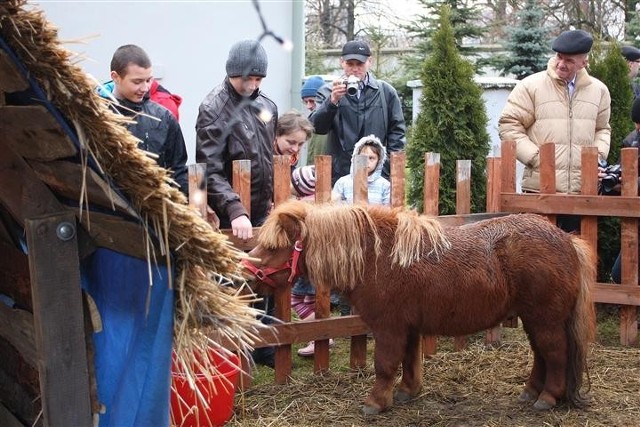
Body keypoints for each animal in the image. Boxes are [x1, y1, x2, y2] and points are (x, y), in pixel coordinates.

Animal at [244, 200, 596, 414]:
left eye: (273, 247)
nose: (247, 276)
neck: (378, 257)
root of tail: (567, 240)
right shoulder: (408, 327)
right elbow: (409, 362)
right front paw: (406, 392)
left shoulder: (389, 328)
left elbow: (385, 365)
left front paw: (376, 401)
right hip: (535, 319)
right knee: (542, 355)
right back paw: (531, 392)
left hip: (545, 320)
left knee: (555, 354)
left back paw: (547, 397)